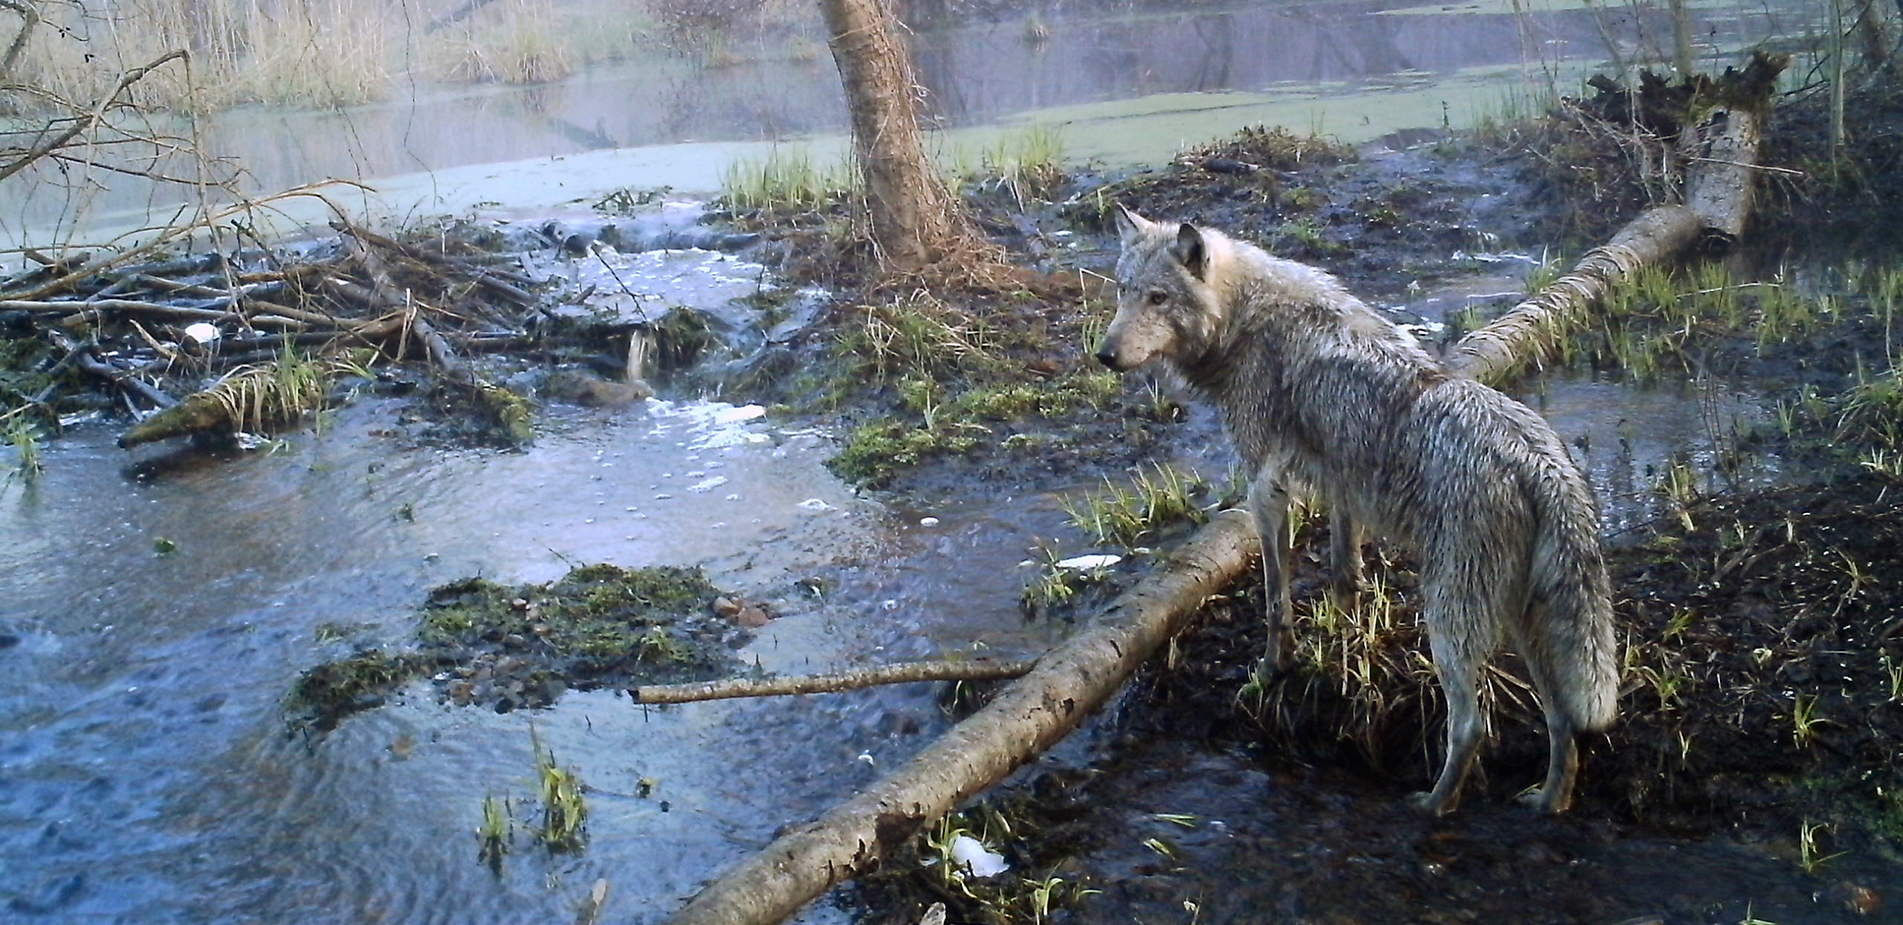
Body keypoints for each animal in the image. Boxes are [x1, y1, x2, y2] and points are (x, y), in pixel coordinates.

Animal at [1096, 205, 1613, 814]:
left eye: (1158, 298)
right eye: (1124, 291)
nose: (1104, 355)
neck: (1246, 319)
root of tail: (1540, 462)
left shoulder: (1267, 490)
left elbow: (1275, 601)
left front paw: (1272, 671)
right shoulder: (1342, 486)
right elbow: (1345, 576)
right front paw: (1342, 650)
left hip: (1451, 624)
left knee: (1471, 727)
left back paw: (1433, 806)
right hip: (1520, 622)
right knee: (1562, 721)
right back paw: (1547, 803)